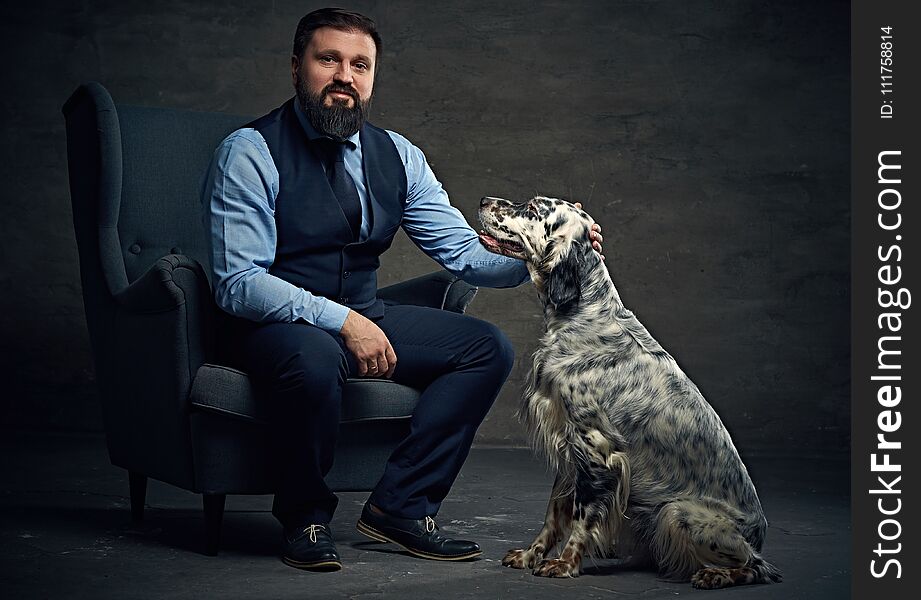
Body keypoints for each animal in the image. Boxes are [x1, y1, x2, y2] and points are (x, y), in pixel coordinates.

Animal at [478, 195, 780, 588]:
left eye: (532, 209)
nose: (484, 200)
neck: (583, 315)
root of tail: (759, 534)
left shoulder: (596, 448)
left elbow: (581, 516)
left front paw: (564, 564)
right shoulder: (569, 445)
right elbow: (553, 513)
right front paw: (532, 555)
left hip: (677, 512)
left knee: (758, 566)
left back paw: (715, 574)